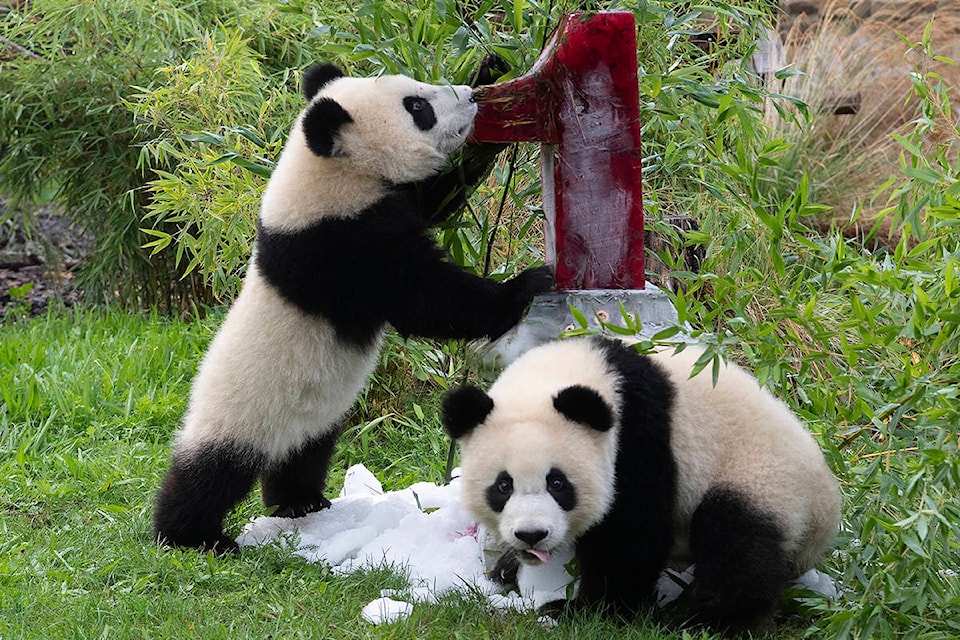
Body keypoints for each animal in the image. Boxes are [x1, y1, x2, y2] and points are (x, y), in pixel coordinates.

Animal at [154, 63, 552, 552]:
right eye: (416, 107)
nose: (469, 97)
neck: (327, 170)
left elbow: (436, 198)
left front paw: (494, 82)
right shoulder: (336, 245)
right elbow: (423, 296)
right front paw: (525, 286)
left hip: (310, 419)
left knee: (303, 456)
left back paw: (300, 503)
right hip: (242, 412)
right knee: (209, 475)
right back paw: (190, 536)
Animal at [442, 338, 840, 632]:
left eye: (558, 483)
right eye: (503, 486)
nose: (531, 535)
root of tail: (827, 511)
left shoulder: (639, 438)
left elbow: (632, 536)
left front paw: (582, 610)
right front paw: (508, 565)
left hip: (763, 479)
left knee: (737, 544)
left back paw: (705, 622)